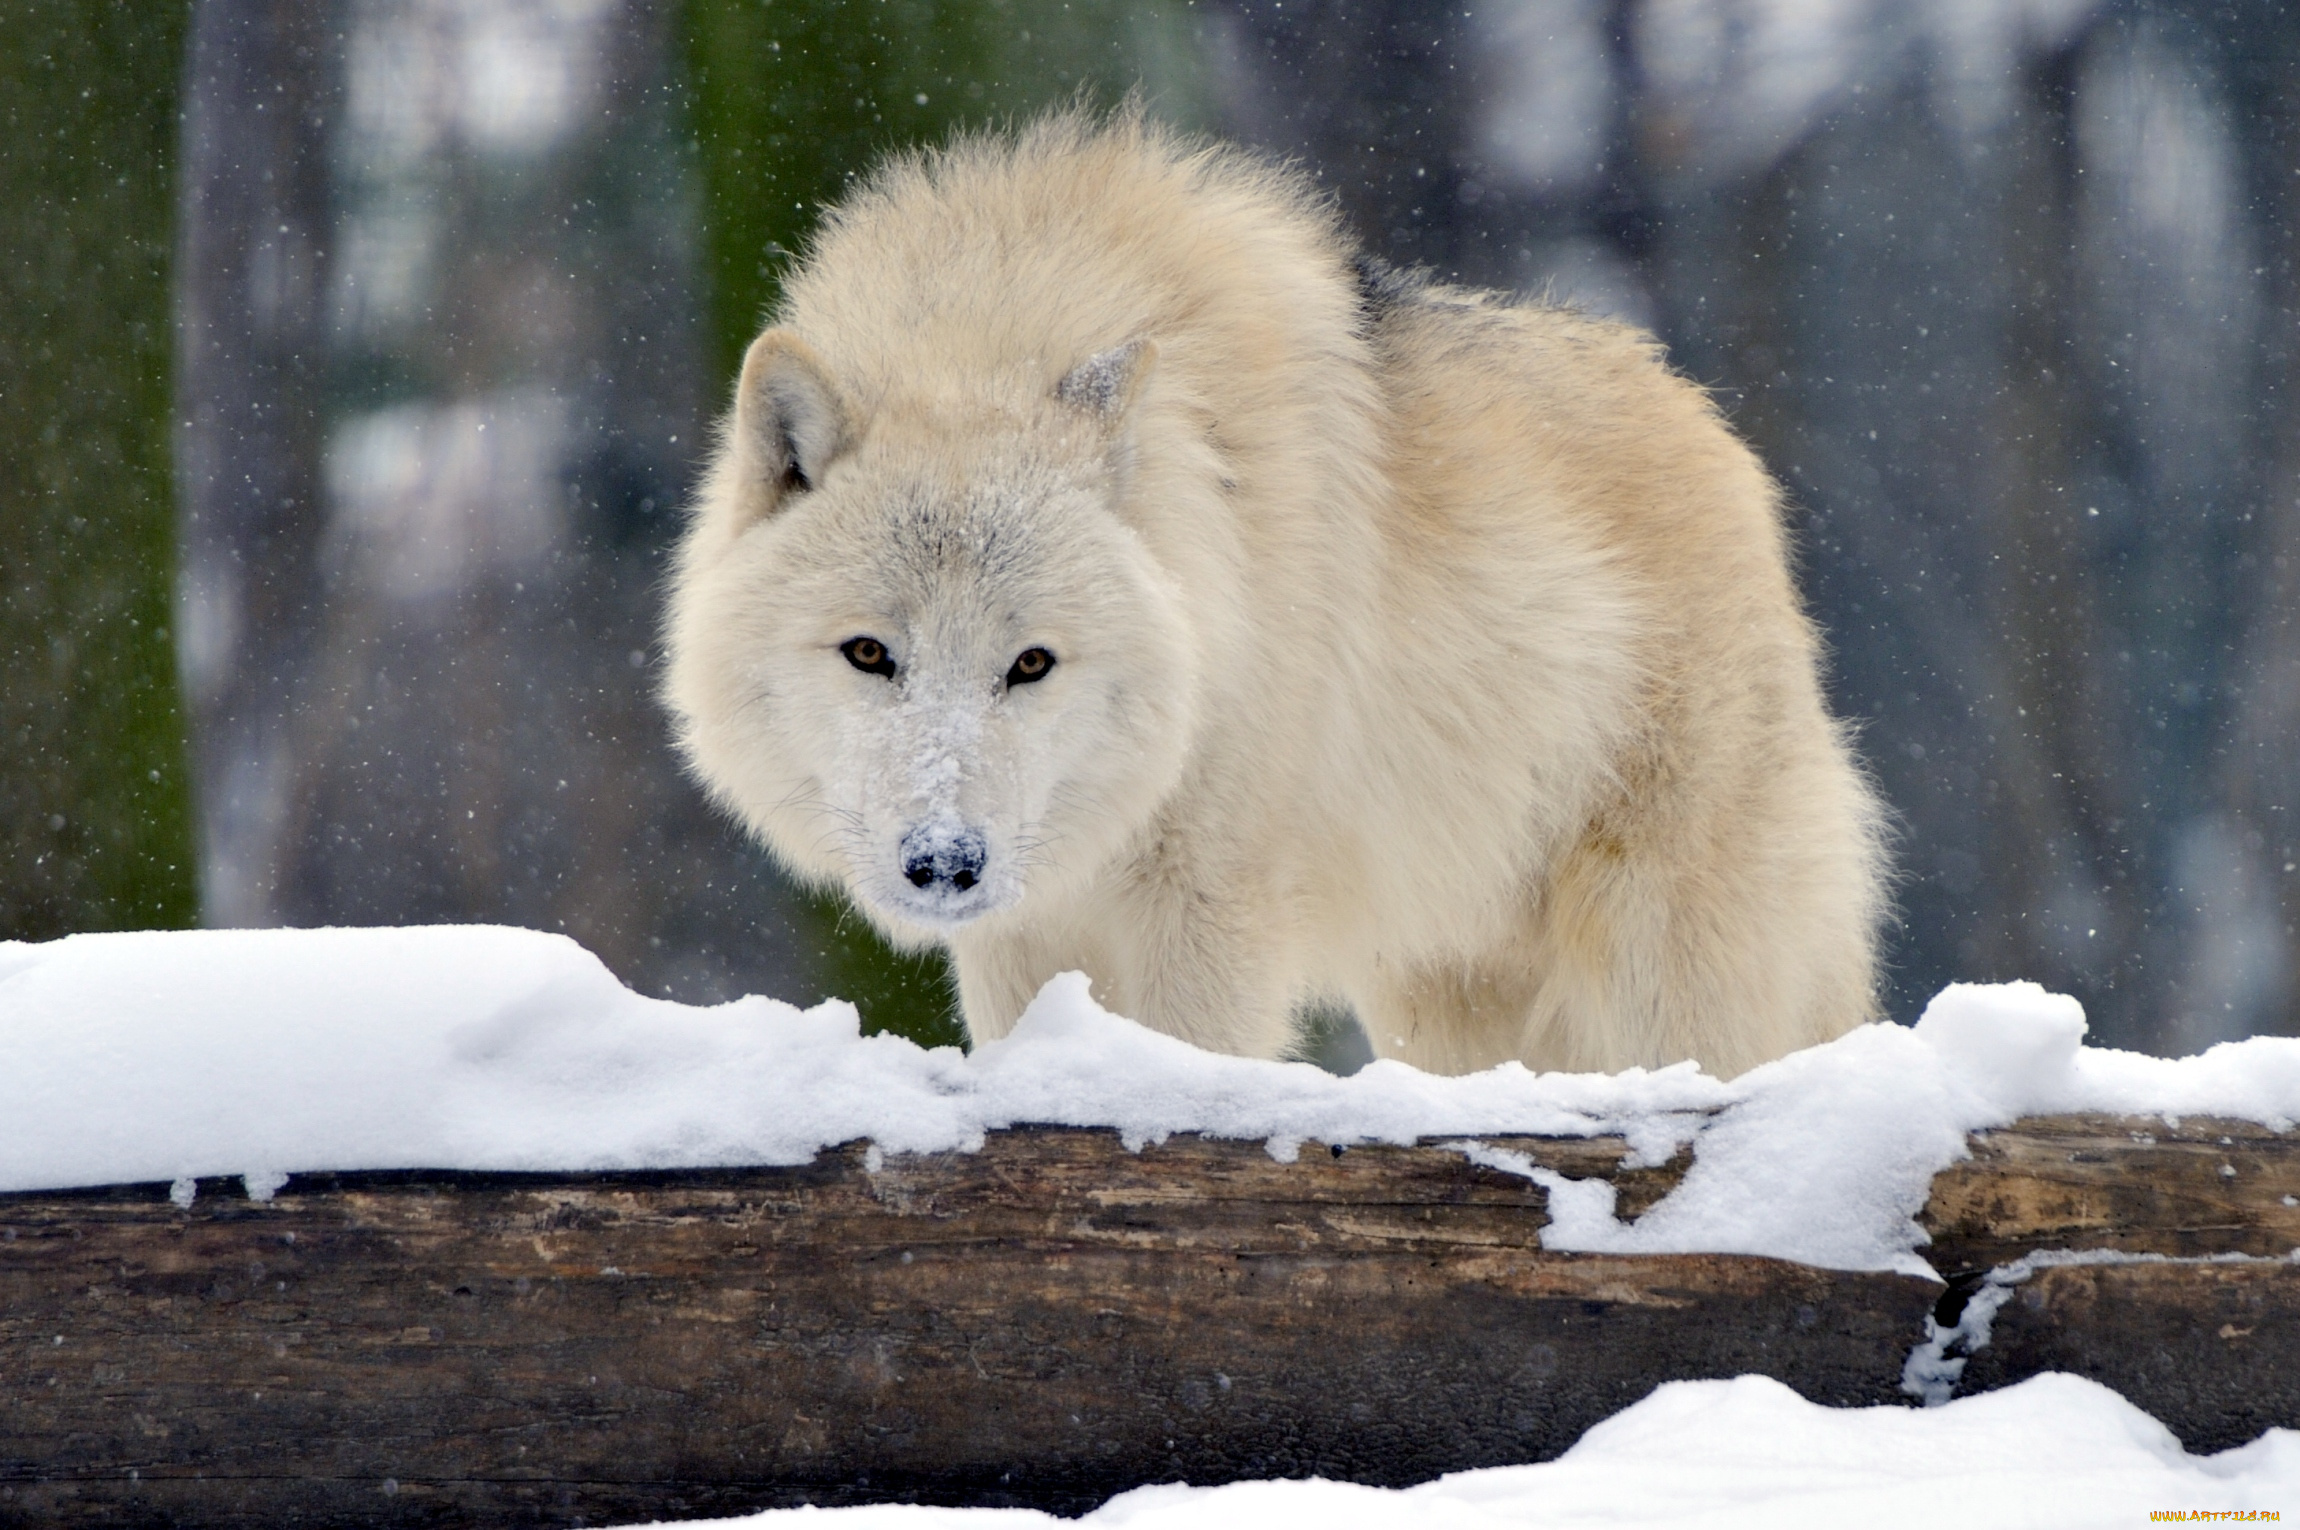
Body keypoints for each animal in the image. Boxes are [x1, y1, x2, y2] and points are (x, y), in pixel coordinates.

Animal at [667, 110, 1886, 1072]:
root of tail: (1717, 434)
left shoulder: (1209, 913)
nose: (945, 863)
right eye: (870, 653)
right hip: (1446, 1001)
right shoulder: (1024, 933)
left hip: (1656, 965)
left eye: (1031, 663)